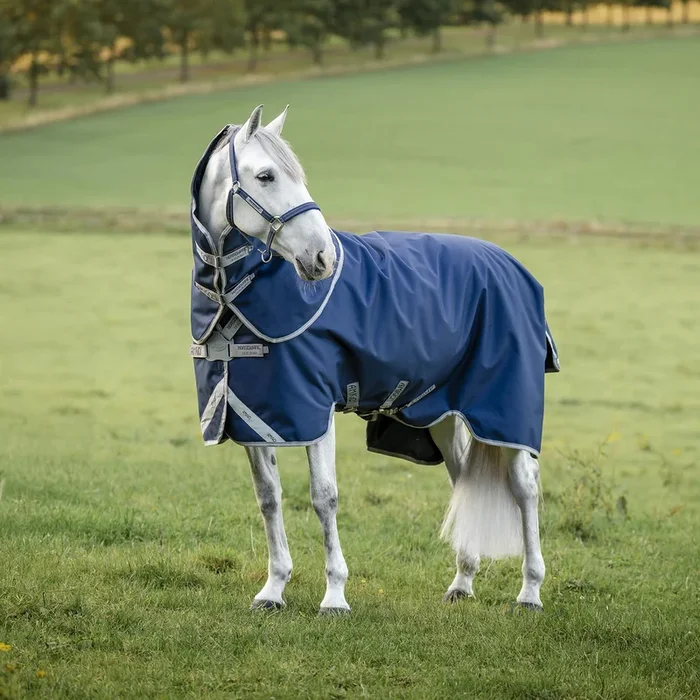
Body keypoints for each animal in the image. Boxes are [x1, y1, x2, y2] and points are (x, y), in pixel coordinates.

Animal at [189, 105, 559, 614]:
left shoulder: (315, 409)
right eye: (265, 176)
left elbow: (324, 497)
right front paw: (274, 589)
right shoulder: (254, 416)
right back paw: (462, 582)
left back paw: (530, 591)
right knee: (463, 480)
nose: (322, 258)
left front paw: (335, 595)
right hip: (443, 414)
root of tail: (510, 264)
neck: (237, 299)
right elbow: (268, 498)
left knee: (525, 487)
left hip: (504, 409)